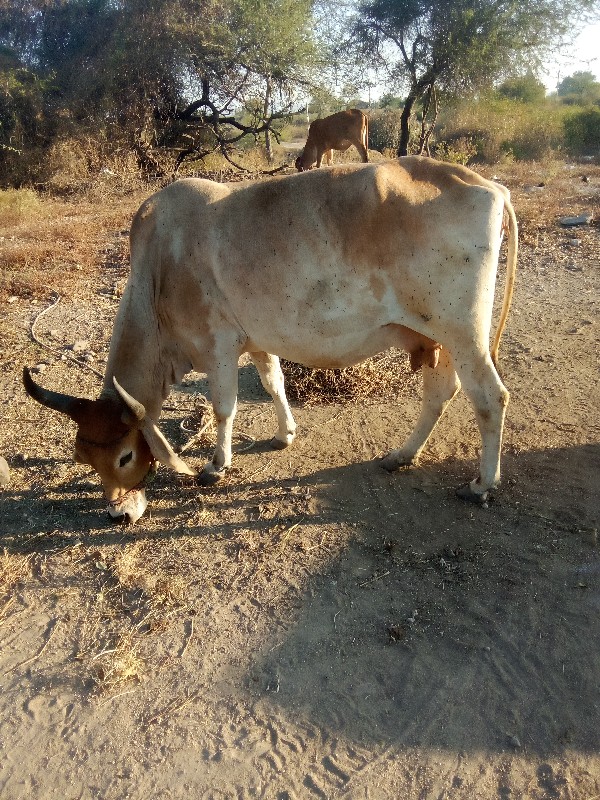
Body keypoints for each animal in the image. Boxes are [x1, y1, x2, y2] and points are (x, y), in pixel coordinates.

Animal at [23, 159, 516, 528]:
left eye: (126, 455)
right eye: (85, 459)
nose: (118, 515)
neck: (160, 269)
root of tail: (488, 185)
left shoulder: (219, 346)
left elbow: (224, 407)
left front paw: (215, 466)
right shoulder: (256, 341)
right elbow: (274, 383)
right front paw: (285, 433)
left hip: (464, 335)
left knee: (490, 398)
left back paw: (481, 484)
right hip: (439, 338)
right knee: (440, 392)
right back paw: (401, 455)